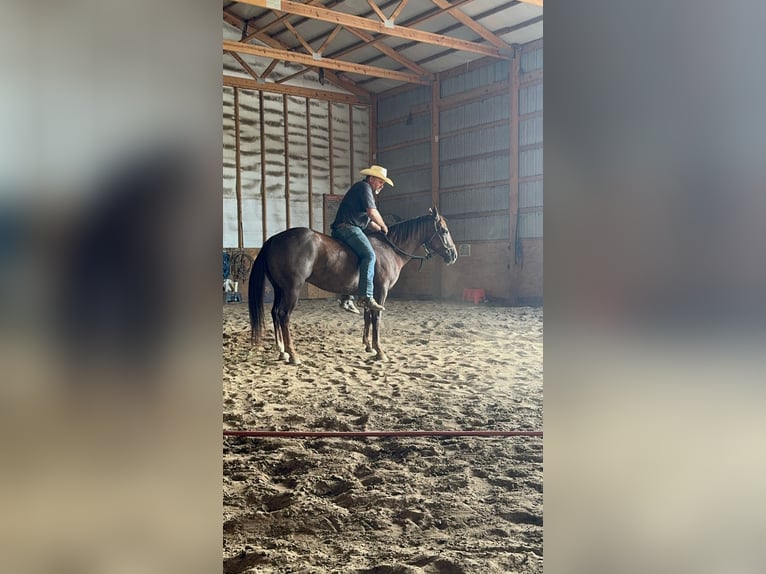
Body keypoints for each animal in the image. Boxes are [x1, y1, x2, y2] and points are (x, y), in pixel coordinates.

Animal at [248, 207, 458, 364]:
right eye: (444, 231)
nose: (453, 254)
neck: (389, 249)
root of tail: (274, 239)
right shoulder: (380, 291)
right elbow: (376, 317)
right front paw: (380, 351)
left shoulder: (368, 293)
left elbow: (368, 316)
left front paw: (368, 346)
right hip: (292, 289)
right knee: (284, 316)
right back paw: (293, 354)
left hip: (279, 289)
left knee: (275, 313)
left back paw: (281, 350)